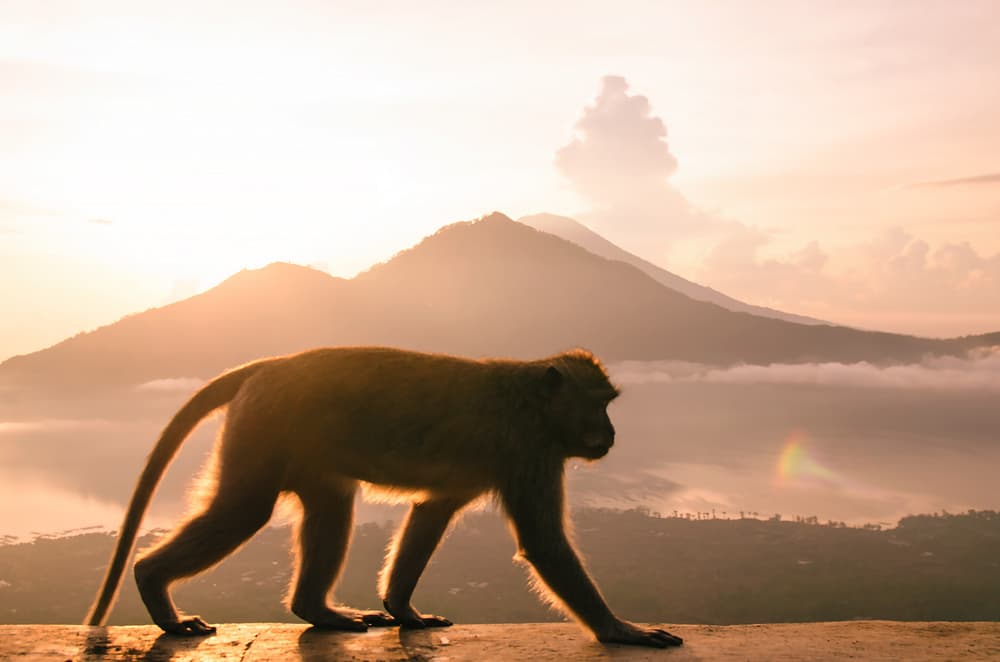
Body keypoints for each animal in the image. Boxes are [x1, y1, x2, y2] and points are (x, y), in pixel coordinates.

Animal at [85, 346, 683, 648]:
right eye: (600, 404)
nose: (612, 434)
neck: (530, 401)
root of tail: (268, 365)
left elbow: (431, 511)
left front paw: (403, 609)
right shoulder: (527, 450)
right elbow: (541, 541)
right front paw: (619, 630)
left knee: (331, 505)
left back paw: (316, 610)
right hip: (266, 425)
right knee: (245, 509)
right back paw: (152, 585)